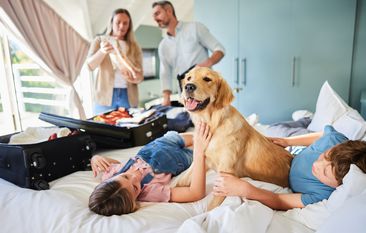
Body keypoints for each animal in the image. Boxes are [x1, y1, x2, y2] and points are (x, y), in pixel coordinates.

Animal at [176, 66, 294, 210]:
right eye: (188, 78)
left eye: (207, 79)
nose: (188, 86)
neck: (214, 124)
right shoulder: (201, 161)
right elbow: (180, 181)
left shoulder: (225, 174)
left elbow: (212, 207)